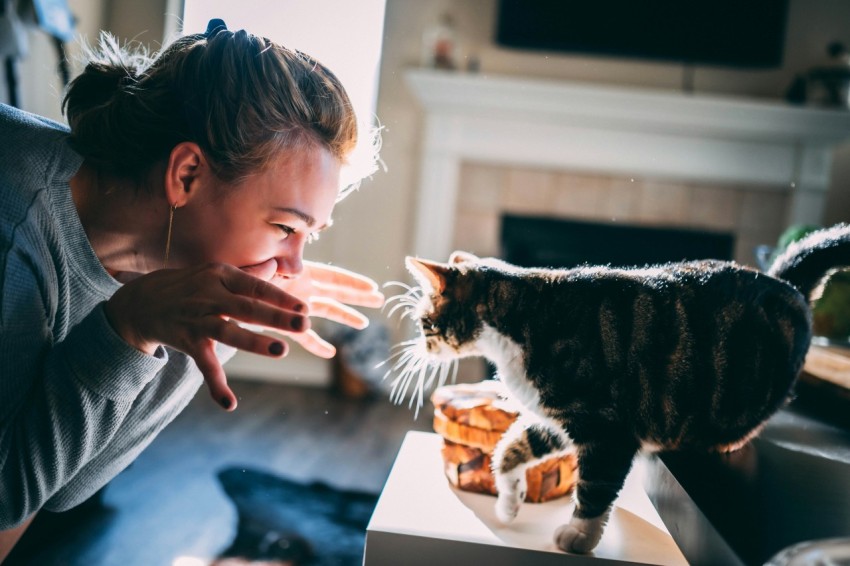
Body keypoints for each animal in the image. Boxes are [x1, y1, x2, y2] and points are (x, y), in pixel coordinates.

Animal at [386, 223, 848, 556]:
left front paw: (579, 538)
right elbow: (508, 450)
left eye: (425, 322)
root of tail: (786, 285)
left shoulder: (607, 428)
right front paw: (509, 502)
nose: (420, 346)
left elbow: (595, 486)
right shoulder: (554, 416)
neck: (519, 319)